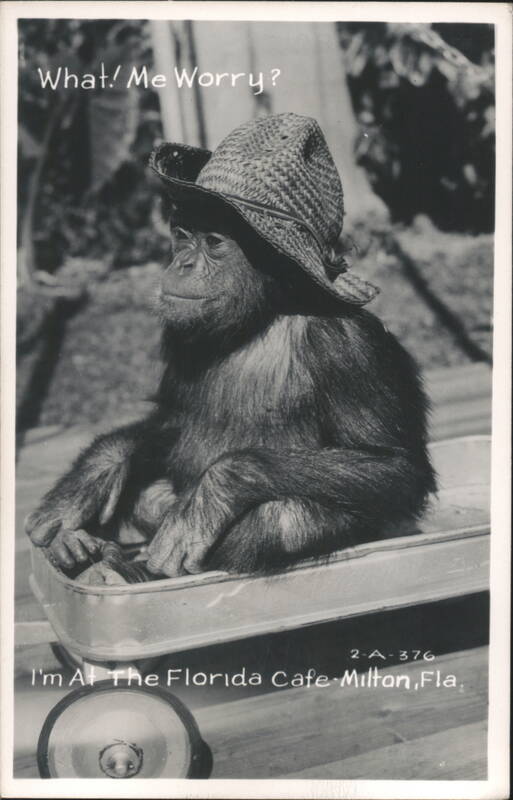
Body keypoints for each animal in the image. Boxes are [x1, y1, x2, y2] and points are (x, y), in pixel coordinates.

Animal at [25, 113, 437, 579]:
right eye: (183, 235)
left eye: (214, 243)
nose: (183, 262)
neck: (260, 316)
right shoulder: (178, 330)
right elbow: (170, 417)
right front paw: (94, 475)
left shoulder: (351, 348)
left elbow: (395, 465)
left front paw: (216, 493)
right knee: (150, 494)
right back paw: (86, 549)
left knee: (279, 520)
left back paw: (116, 566)